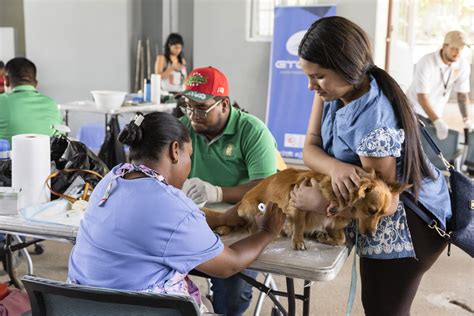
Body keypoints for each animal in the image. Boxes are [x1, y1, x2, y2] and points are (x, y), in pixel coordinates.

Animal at [209, 169, 410, 251]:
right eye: (371, 210)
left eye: (382, 215)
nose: (372, 234)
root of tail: (242, 201)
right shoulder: (296, 205)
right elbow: (299, 224)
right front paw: (298, 241)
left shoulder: (333, 224)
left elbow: (341, 239)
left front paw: (324, 238)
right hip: (253, 209)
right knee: (244, 225)